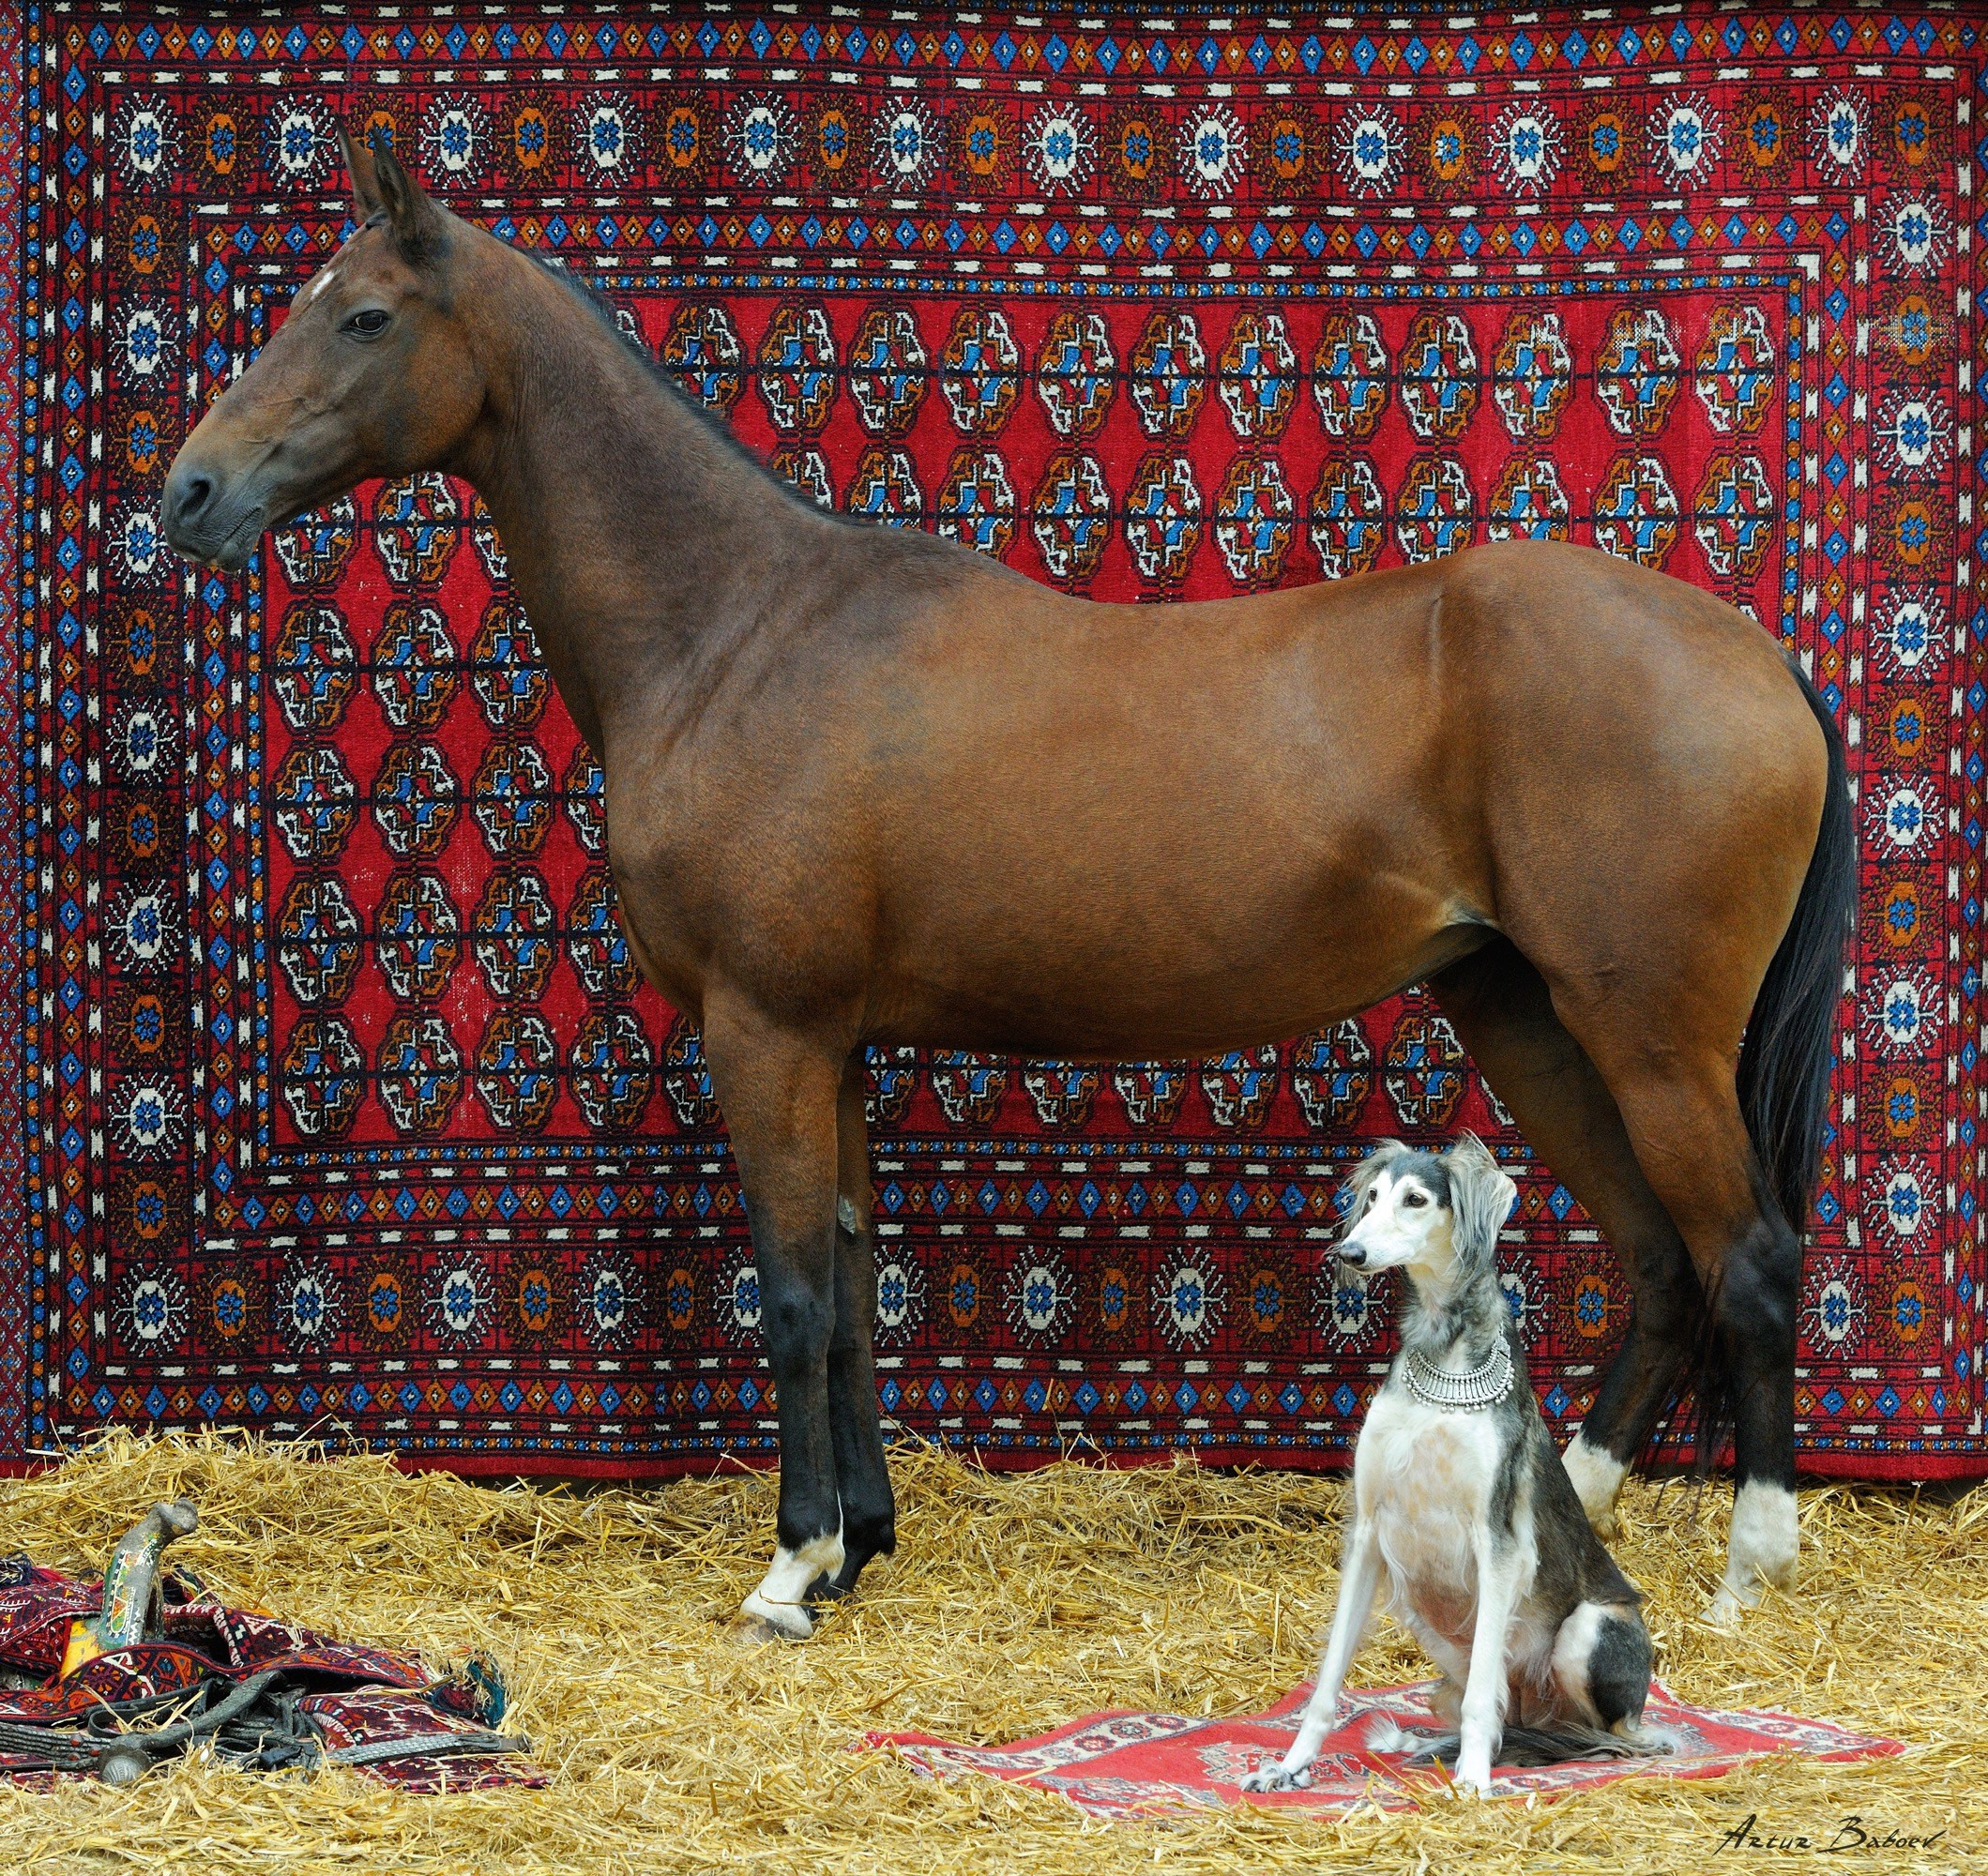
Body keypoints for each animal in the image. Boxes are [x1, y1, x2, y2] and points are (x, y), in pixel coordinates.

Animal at [163, 132, 1852, 1640]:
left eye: (361, 315)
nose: (187, 491)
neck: (738, 629)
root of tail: (1751, 651)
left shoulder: (763, 1029)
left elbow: (791, 1297)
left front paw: (788, 1571)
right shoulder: (829, 1042)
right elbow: (848, 1285)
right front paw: (857, 1541)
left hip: (1644, 1036)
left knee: (1747, 1261)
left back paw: (1749, 1567)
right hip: (1521, 1011)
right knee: (1658, 1262)